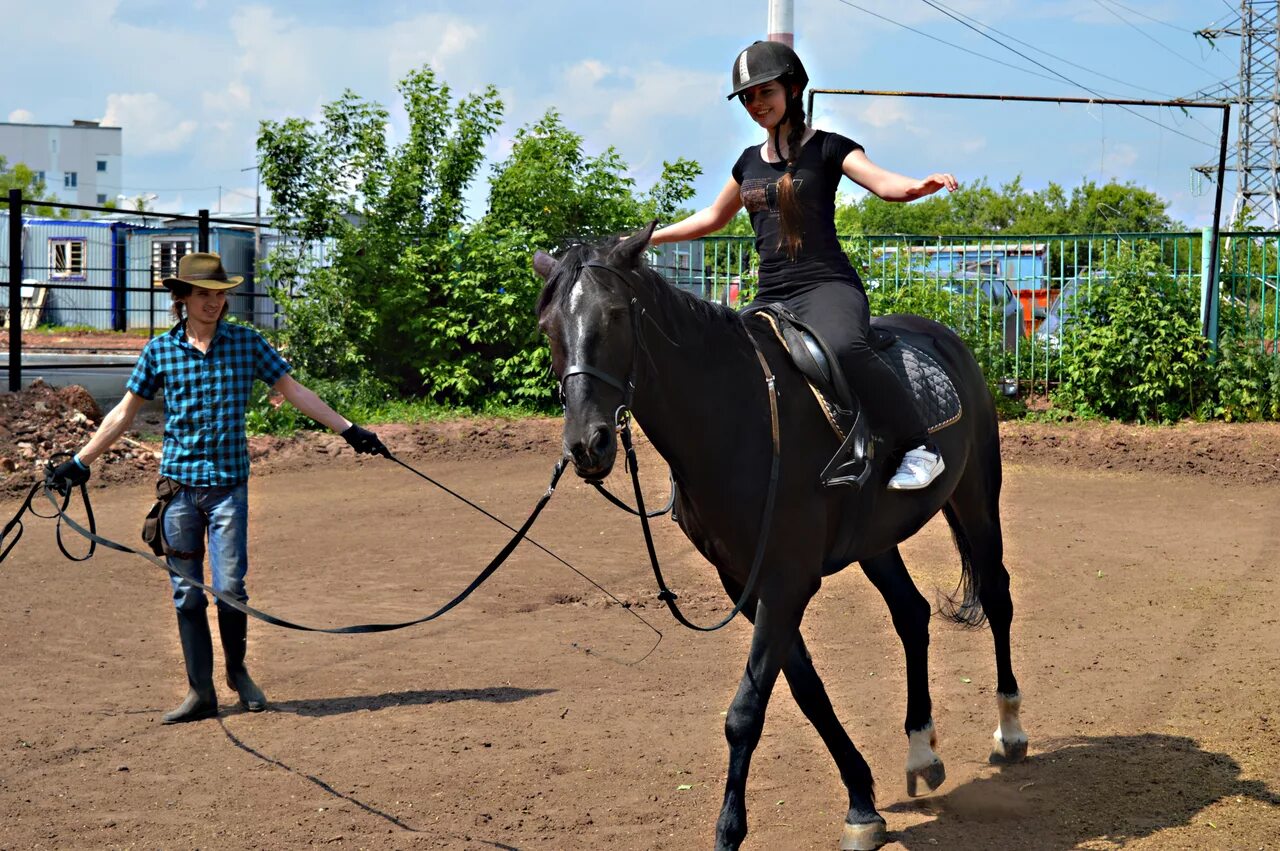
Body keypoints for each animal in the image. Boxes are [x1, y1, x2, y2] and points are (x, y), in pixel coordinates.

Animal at [535, 222, 1024, 844]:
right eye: (550, 327)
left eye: (617, 315)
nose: (586, 444)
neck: (737, 416)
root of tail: (943, 336)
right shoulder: (744, 583)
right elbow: (805, 690)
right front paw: (862, 805)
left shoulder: (786, 581)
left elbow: (746, 710)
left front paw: (729, 830)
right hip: (876, 540)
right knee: (912, 614)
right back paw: (920, 752)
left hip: (977, 498)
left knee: (997, 596)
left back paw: (1010, 731)